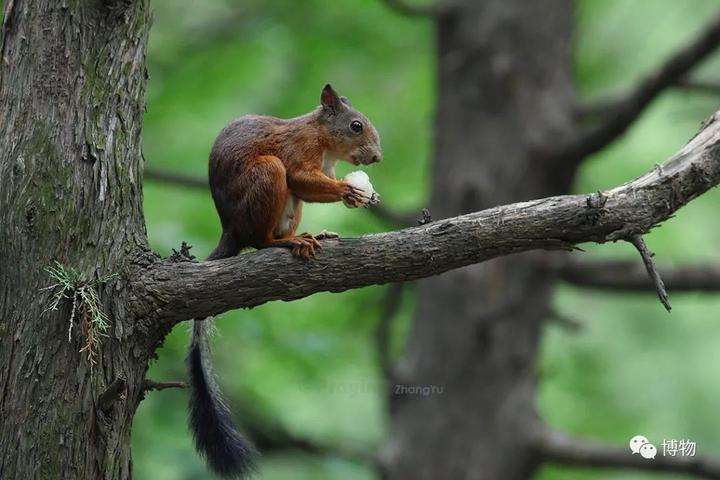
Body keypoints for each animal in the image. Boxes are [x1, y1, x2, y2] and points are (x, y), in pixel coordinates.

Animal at [190, 84, 382, 478]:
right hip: (267, 175)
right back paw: (285, 243)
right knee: (261, 239)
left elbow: (311, 187)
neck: (323, 141)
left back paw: (312, 236)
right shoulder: (297, 152)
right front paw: (349, 191)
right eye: (356, 126)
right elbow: (300, 177)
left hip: (291, 208)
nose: (377, 157)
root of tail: (231, 230)